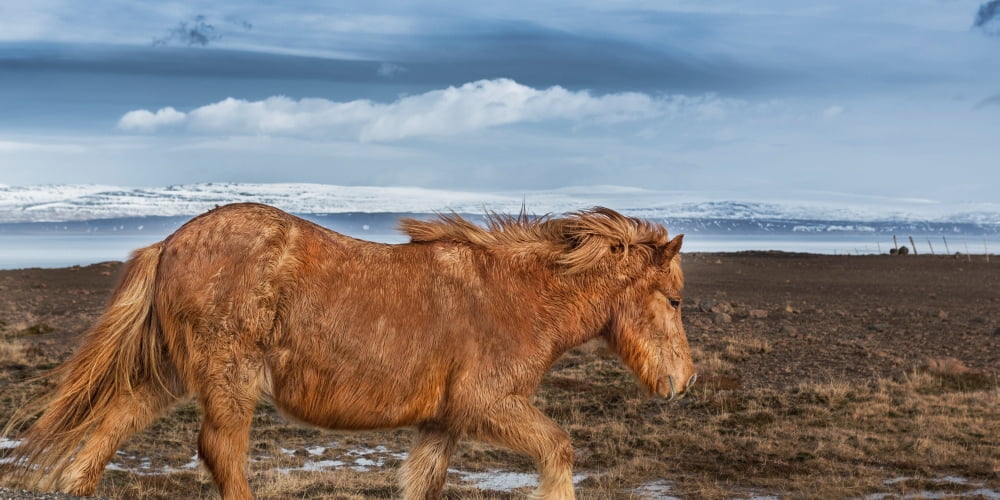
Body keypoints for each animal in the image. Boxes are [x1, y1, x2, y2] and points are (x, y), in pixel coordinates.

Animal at [1, 203, 696, 500]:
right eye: (675, 299)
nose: (683, 381)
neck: (517, 295)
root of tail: (170, 242)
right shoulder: (488, 405)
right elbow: (558, 450)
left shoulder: (443, 421)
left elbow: (422, 482)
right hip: (228, 378)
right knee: (220, 452)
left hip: (173, 374)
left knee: (115, 419)